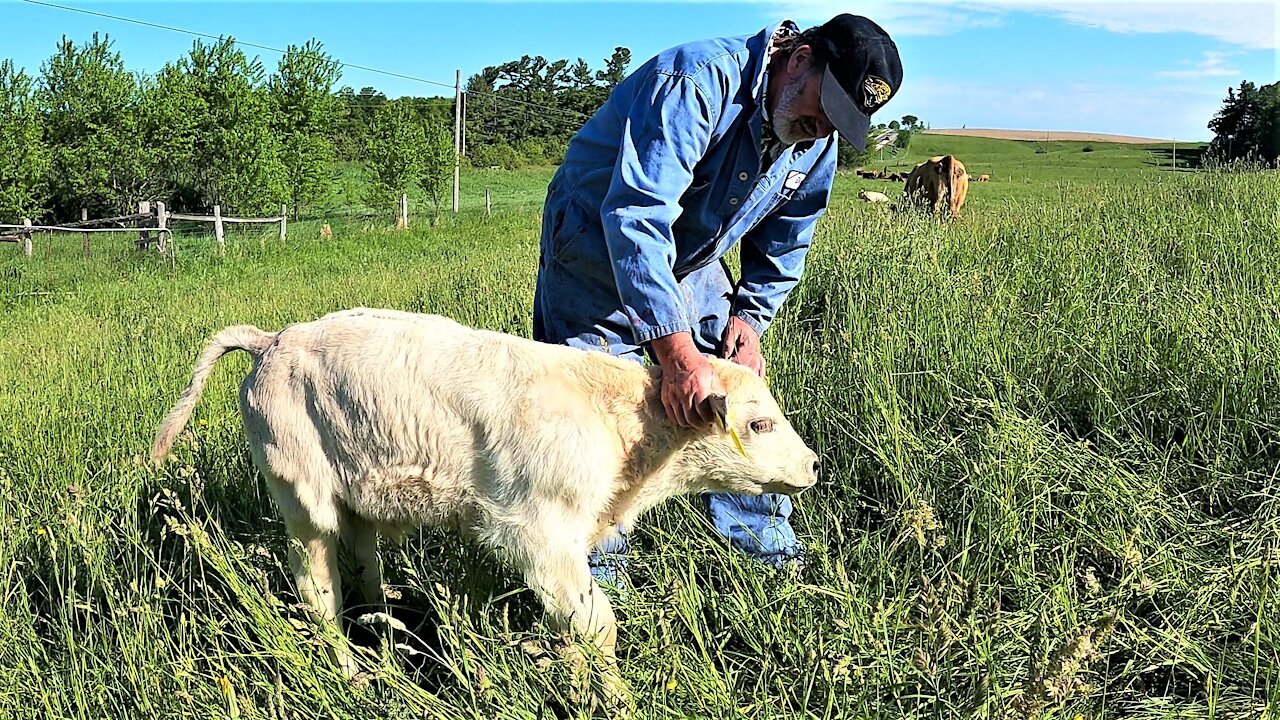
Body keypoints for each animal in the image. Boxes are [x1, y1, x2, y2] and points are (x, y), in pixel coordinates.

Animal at [149, 308, 819, 707]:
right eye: (758, 424)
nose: (814, 466)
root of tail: (272, 341)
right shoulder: (542, 535)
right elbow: (596, 622)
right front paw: (613, 697)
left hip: (355, 495)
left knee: (362, 563)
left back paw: (385, 643)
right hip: (302, 501)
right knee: (317, 589)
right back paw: (350, 673)